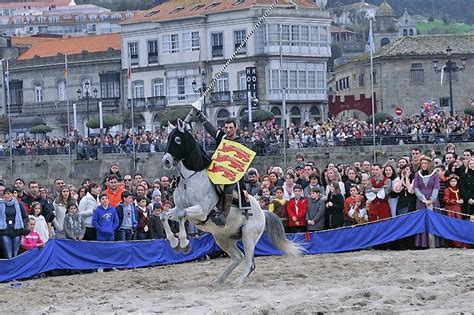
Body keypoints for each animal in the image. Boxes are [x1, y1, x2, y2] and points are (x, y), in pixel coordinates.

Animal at [158, 119, 300, 286]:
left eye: (178, 140)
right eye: (168, 139)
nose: (166, 161)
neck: (190, 180)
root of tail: (262, 212)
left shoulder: (202, 211)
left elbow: (181, 215)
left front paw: (184, 244)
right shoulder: (178, 208)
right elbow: (164, 215)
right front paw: (174, 243)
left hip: (248, 236)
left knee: (249, 262)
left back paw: (238, 281)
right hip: (222, 237)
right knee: (238, 257)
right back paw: (219, 280)